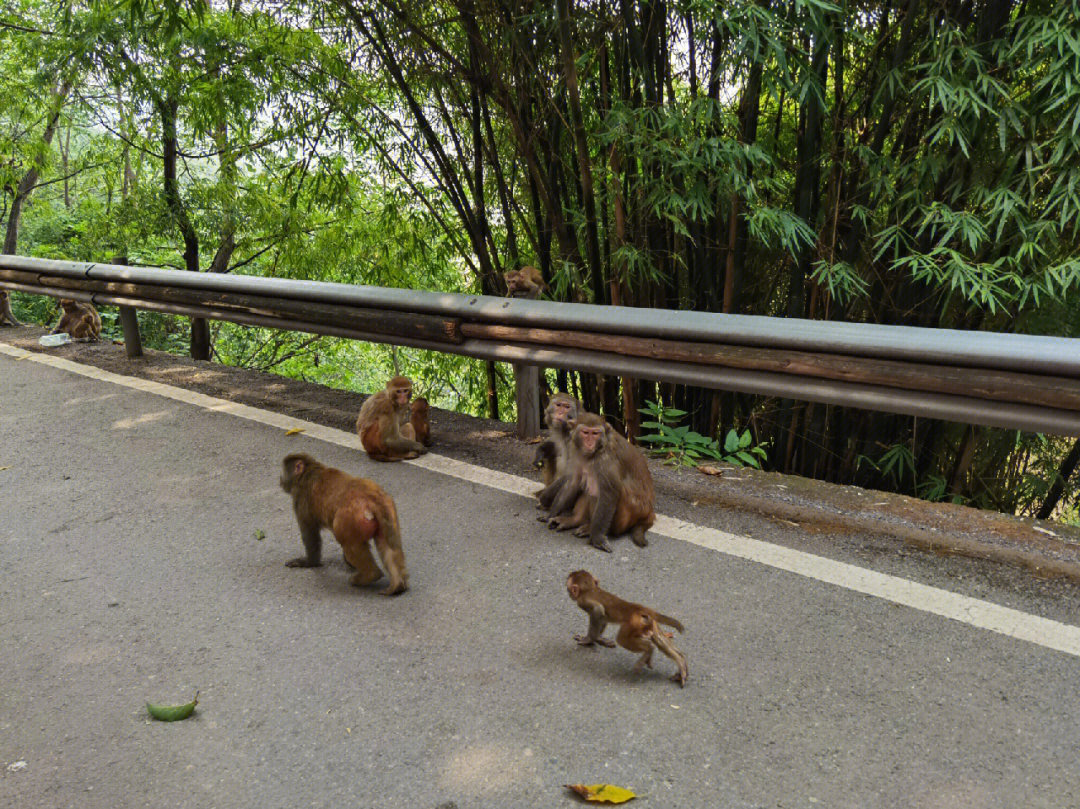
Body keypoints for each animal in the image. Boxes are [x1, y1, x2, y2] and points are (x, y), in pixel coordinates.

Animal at [278, 451, 408, 596]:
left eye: (284, 470)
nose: (280, 479)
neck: (309, 471)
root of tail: (371, 497)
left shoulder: (300, 498)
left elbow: (310, 533)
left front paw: (308, 562)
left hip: (350, 518)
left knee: (349, 543)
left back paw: (370, 575)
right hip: (388, 508)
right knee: (387, 543)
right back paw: (397, 585)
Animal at [544, 412, 652, 553]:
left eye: (595, 433)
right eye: (585, 433)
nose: (590, 443)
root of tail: (649, 511)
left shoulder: (607, 460)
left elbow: (608, 493)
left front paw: (597, 538)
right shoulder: (575, 452)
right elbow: (573, 482)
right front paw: (551, 514)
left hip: (630, 515)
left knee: (609, 489)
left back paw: (592, 529)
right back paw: (575, 520)